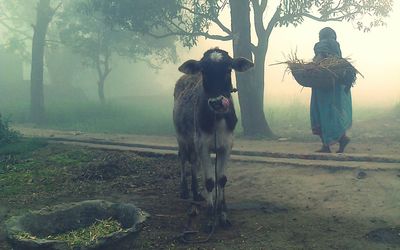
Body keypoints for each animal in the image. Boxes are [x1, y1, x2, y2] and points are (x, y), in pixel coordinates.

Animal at [172, 47, 253, 229]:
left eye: (229, 69)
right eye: (204, 71)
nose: (217, 102)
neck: (217, 119)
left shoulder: (227, 145)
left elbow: (221, 179)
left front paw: (223, 215)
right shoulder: (202, 145)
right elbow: (209, 180)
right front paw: (210, 217)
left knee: (193, 162)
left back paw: (196, 194)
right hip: (182, 137)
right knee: (184, 158)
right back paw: (185, 191)